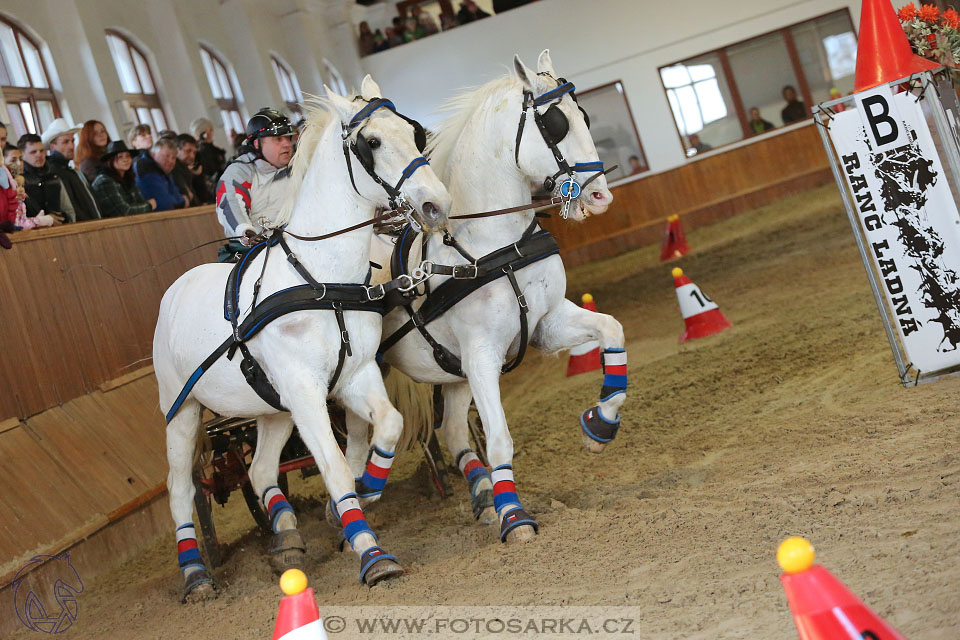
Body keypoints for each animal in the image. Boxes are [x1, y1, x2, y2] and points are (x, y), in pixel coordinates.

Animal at [153, 76, 450, 600]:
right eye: (372, 142)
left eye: (414, 132)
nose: (437, 204)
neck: (321, 280)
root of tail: (176, 288)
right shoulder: (306, 392)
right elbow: (333, 465)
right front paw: (373, 555)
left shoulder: (353, 376)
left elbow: (388, 426)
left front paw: (362, 493)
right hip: (182, 409)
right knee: (182, 490)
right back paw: (195, 574)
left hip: (270, 408)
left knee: (260, 471)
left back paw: (286, 535)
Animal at [348, 52, 628, 544]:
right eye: (554, 123)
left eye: (585, 115)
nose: (599, 196)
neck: (495, 247)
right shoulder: (482, 355)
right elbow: (499, 438)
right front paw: (514, 516)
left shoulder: (545, 324)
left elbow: (612, 329)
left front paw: (600, 425)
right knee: (350, 446)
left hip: (452, 372)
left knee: (453, 433)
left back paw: (479, 495)